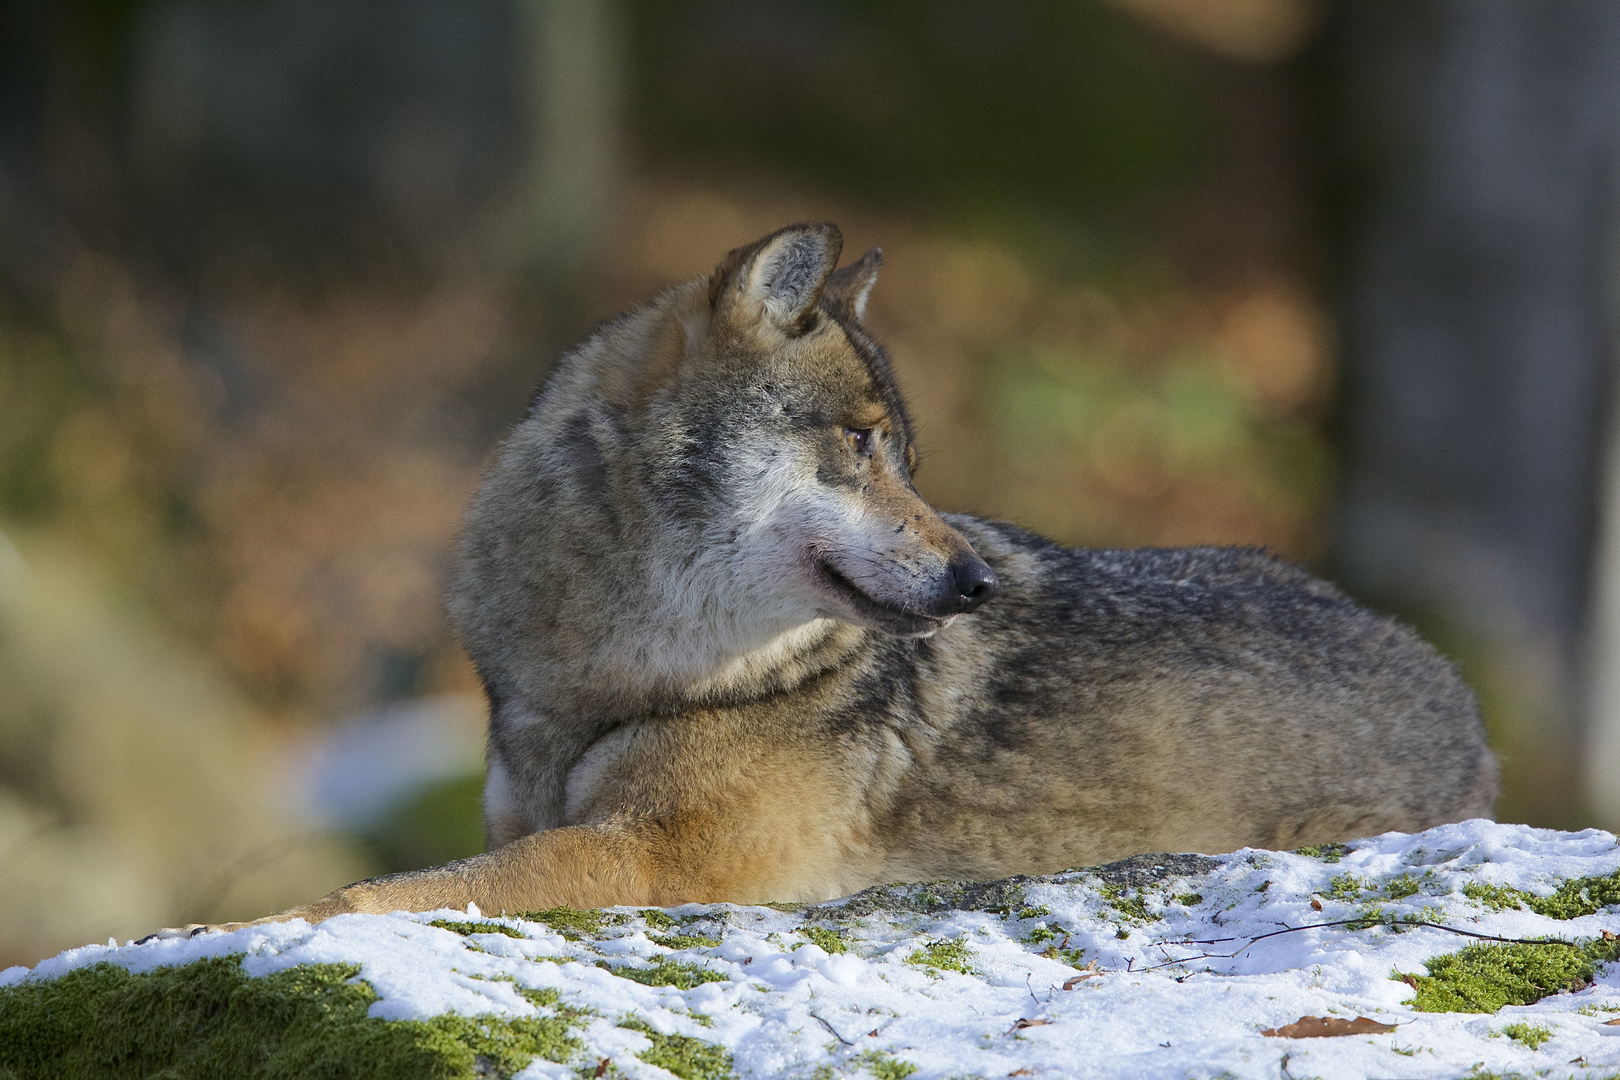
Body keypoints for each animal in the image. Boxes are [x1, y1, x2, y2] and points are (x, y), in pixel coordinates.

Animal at [228, 223, 1490, 926]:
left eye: (910, 458)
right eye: (864, 445)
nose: (977, 583)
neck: (612, 672)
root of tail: (1460, 693)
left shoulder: (656, 852)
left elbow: (381, 891)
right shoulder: (540, 819)